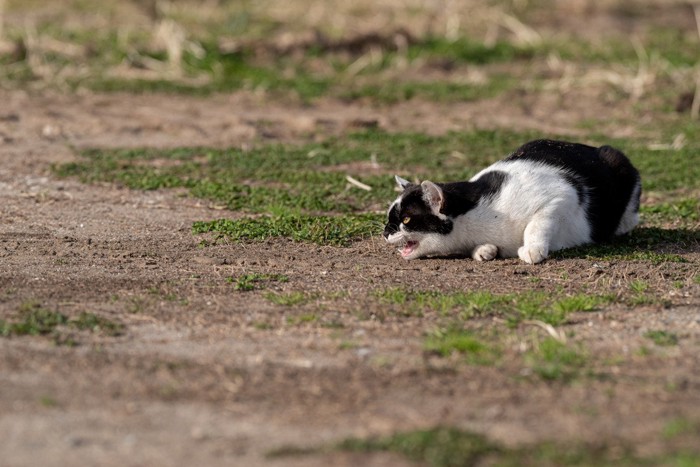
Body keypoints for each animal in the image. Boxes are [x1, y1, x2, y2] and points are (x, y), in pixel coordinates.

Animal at [382, 138, 640, 264]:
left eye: (406, 219)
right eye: (389, 218)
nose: (385, 232)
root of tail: (593, 147)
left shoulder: (563, 195)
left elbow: (537, 224)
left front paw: (533, 250)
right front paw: (484, 251)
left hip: (619, 164)